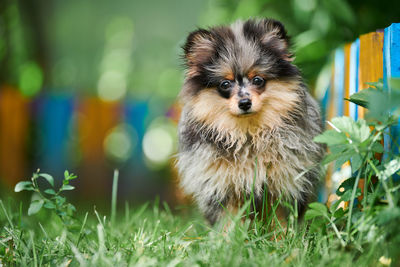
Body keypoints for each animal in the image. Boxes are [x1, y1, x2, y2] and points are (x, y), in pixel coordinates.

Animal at [177, 17, 324, 225]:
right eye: (225, 84)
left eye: (257, 80)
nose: (245, 103)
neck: (248, 135)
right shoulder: (223, 188)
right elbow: (228, 223)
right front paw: (229, 235)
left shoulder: (283, 183)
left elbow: (279, 221)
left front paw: (283, 235)